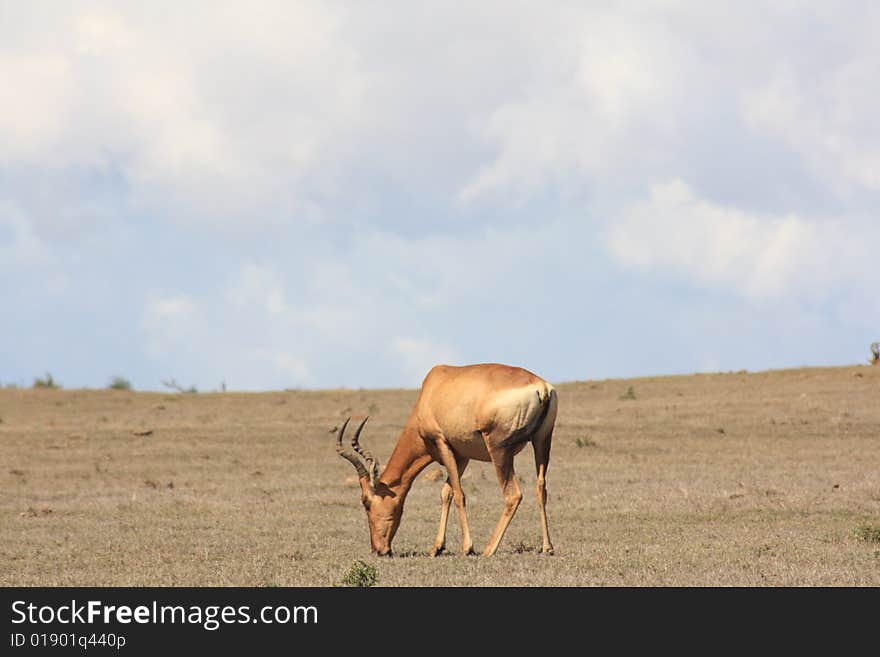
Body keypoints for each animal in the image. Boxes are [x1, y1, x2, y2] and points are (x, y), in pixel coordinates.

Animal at [336, 362, 556, 556]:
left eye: (366, 502)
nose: (379, 550)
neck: (433, 387)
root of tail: (542, 387)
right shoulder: (462, 456)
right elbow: (446, 493)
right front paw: (437, 548)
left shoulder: (443, 443)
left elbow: (458, 494)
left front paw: (467, 548)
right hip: (542, 441)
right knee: (541, 489)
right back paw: (547, 547)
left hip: (499, 450)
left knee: (512, 495)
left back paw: (489, 550)